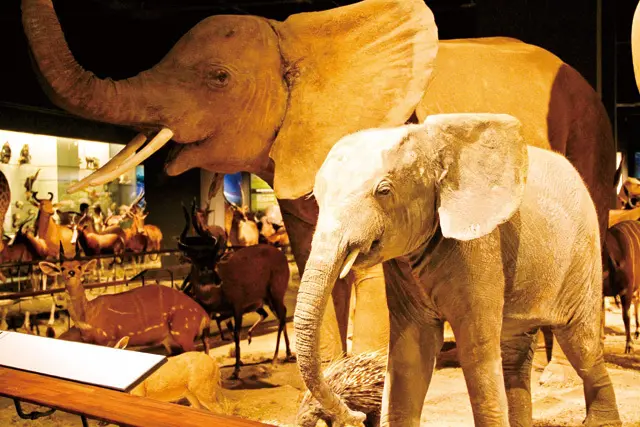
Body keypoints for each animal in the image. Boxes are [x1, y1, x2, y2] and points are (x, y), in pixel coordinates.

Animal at [295, 113, 621, 427]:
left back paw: (602, 423)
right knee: (514, 354)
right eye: (317, 198)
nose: (356, 416)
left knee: (581, 343)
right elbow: (411, 348)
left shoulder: (479, 247)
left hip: (584, 252)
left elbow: (476, 348)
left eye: (384, 191)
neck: (433, 145)